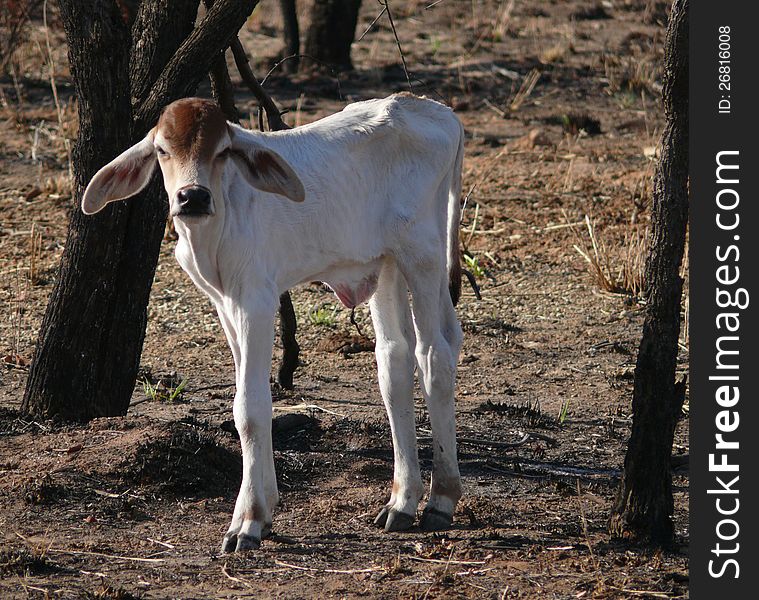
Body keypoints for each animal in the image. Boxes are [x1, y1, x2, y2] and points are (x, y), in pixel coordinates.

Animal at [80, 91, 466, 552]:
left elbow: (250, 408)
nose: (192, 197)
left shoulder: (256, 303)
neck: (215, 227)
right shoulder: (225, 307)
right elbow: (252, 400)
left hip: (422, 254)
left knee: (434, 355)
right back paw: (402, 501)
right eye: (162, 150)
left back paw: (440, 499)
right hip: (385, 262)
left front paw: (247, 520)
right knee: (395, 360)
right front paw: (264, 512)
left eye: (223, 151)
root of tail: (433, 109)